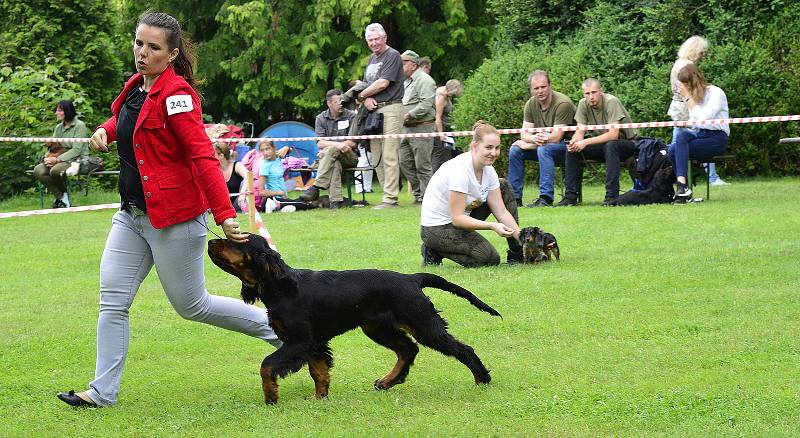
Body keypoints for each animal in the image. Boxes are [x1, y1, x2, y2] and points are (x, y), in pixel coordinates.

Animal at [206, 234, 500, 406]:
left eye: (238, 241)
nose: (209, 242)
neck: (281, 286)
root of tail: (412, 278)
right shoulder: (313, 343)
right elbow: (319, 371)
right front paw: (320, 398)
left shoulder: (300, 341)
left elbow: (267, 365)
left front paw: (271, 396)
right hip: (377, 328)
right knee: (408, 349)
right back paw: (387, 381)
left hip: (423, 324)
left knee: (462, 349)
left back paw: (482, 379)